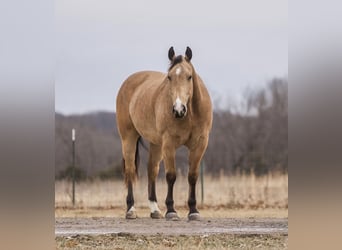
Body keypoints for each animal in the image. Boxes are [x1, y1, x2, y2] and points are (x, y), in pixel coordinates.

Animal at [116, 47, 212, 221]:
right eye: (169, 77)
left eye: (189, 77)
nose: (178, 109)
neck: (190, 115)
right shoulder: (169, 144)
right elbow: (171, 176)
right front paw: (171, 210)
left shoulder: (200, 144)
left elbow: (192, 176)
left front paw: (193, 210)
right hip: (128, 138)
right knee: (130, 170)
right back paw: (131, 209)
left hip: (155, 144)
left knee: (151, 170)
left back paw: (155, 210)